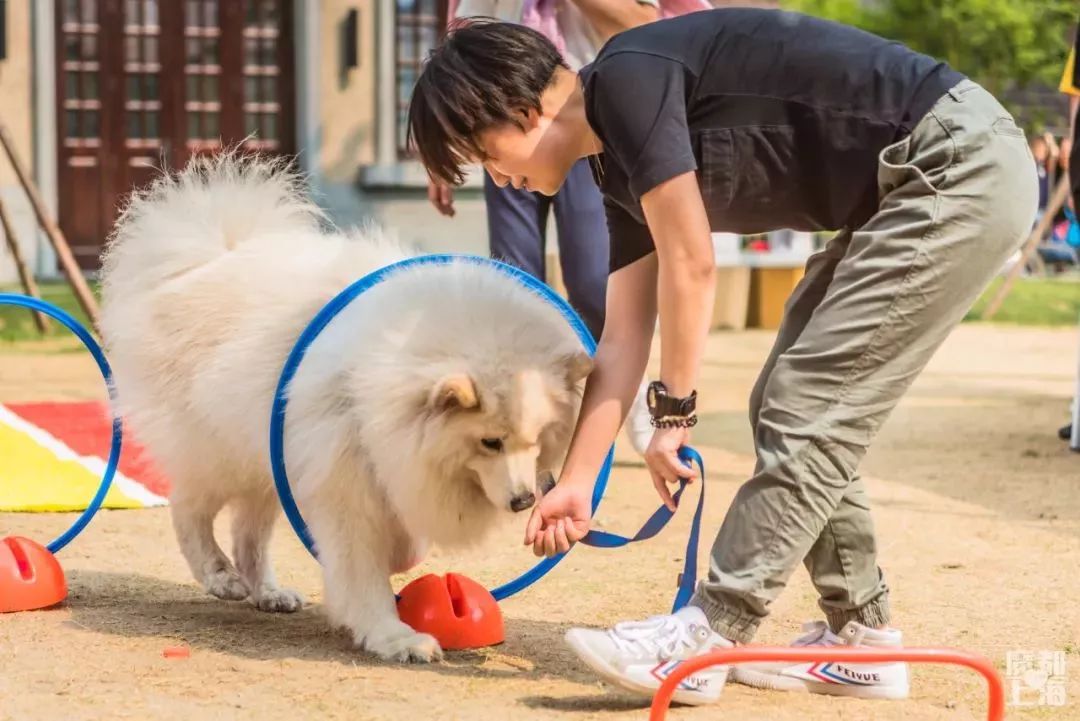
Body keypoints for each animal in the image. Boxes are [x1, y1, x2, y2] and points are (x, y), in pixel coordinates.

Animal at [99, 157, 591, 664]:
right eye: (490, 442)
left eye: (536, 440)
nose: (524, 501)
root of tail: (208, 256)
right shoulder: (345, 483)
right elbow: (362, 572)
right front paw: (395, 638)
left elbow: (404, 542)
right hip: (223, 450)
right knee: (188, 508)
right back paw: (220, 576)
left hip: (266, 461)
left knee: (249, 532)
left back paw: (267, 592)